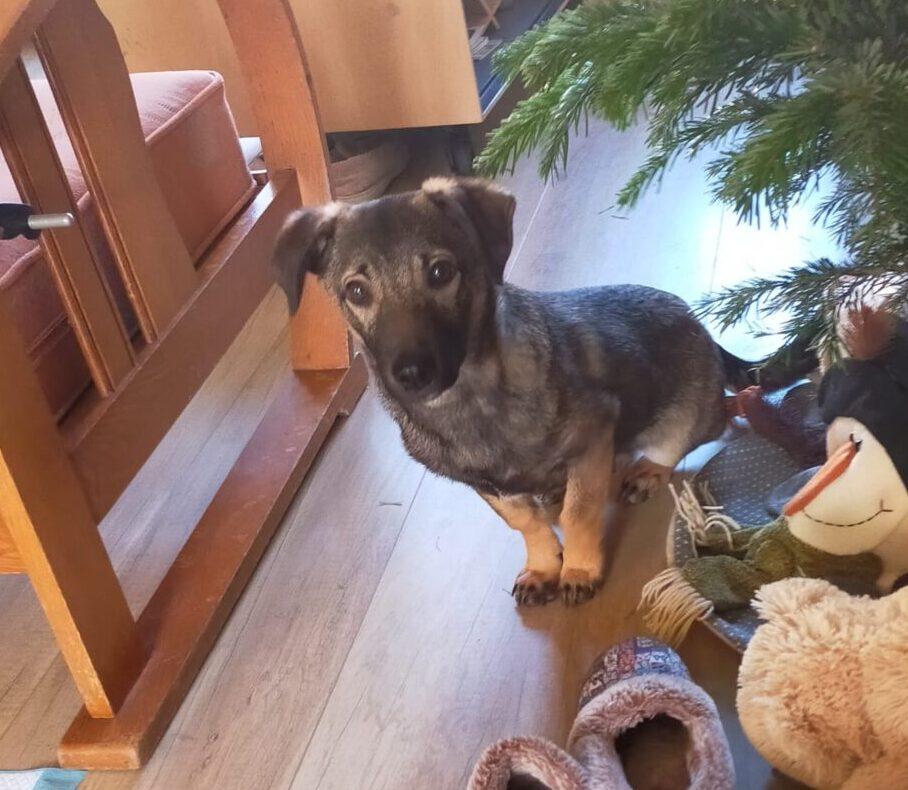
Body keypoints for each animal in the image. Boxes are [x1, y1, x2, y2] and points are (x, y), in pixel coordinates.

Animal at [273, 177, 773, 607]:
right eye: (356, 292)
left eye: (440, 272)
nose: (411, 374)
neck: (470, 401)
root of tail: (702, 330)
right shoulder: (487, 486)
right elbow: (525, 522)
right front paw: (543, 567)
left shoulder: (593, 435)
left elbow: (579, 512)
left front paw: (578, 569)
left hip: (687, 415)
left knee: (698, 431)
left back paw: (647, 470)